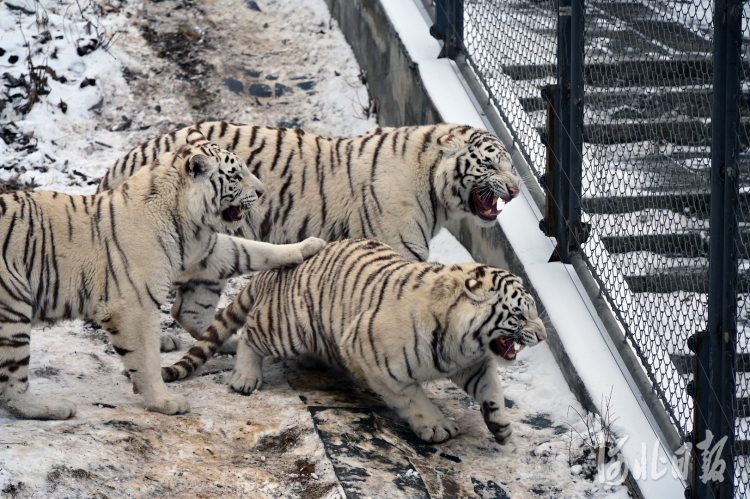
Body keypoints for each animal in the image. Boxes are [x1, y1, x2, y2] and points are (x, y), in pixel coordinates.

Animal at [0, 130, 324, 422]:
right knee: (12, 385)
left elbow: (252, 251)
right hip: (12, 308)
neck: (185, 219)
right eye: (235, 176)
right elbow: (146, 358)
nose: (261, 192)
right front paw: (163, 401)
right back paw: (53, 409)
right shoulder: (134, 305)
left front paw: (310, 245)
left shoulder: (207, 250)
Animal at [98, 122, 524, 346]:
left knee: (186, 311)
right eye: (491, 164)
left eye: (512, 167)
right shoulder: (398, 250)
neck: (435, 189)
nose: (517, 189)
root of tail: (126, 158)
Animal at [163, 239, 548, 446]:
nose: (543, 335)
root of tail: (274, 271)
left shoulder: (473, 362)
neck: (463, 341)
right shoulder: (375, 359)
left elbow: (492, 391)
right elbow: (414, 398)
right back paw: (245, 378)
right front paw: (436, 426)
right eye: (520, 315)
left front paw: (501, 427)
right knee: (251, 335)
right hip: (288, 328)